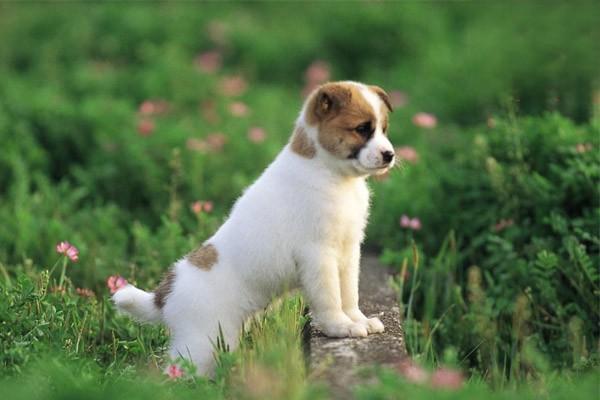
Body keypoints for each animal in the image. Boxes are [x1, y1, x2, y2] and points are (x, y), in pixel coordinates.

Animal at [113, 81, 394, 376]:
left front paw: (358, 320)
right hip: (199, 344)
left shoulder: (348, 251)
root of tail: (164, 295)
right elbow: (330, 298)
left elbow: (349, 293)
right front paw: (340, 327)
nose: (390, 155)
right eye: (362, 129)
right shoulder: (318, 256)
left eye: (383, 129)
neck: (329, 173)